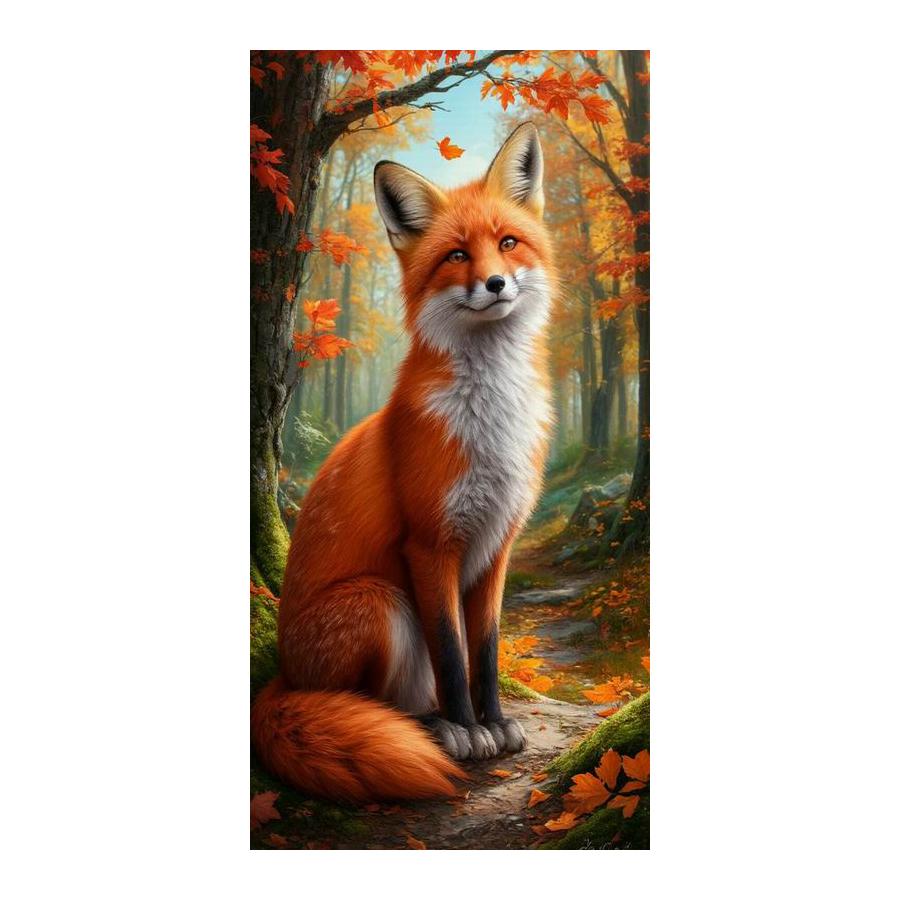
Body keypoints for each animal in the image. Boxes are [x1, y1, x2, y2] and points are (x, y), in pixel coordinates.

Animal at [251, 123, 555, 803]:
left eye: (507, 243)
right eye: (457, 256)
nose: (496, 284)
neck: (490, 424)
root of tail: (283, 674)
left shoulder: (497, 545)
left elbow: (485, 650)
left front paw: (495, 721)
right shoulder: (429, 542)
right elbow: (452, 652)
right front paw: (469, 730)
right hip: (381, 601)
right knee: (360, 704)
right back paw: (430, 727)